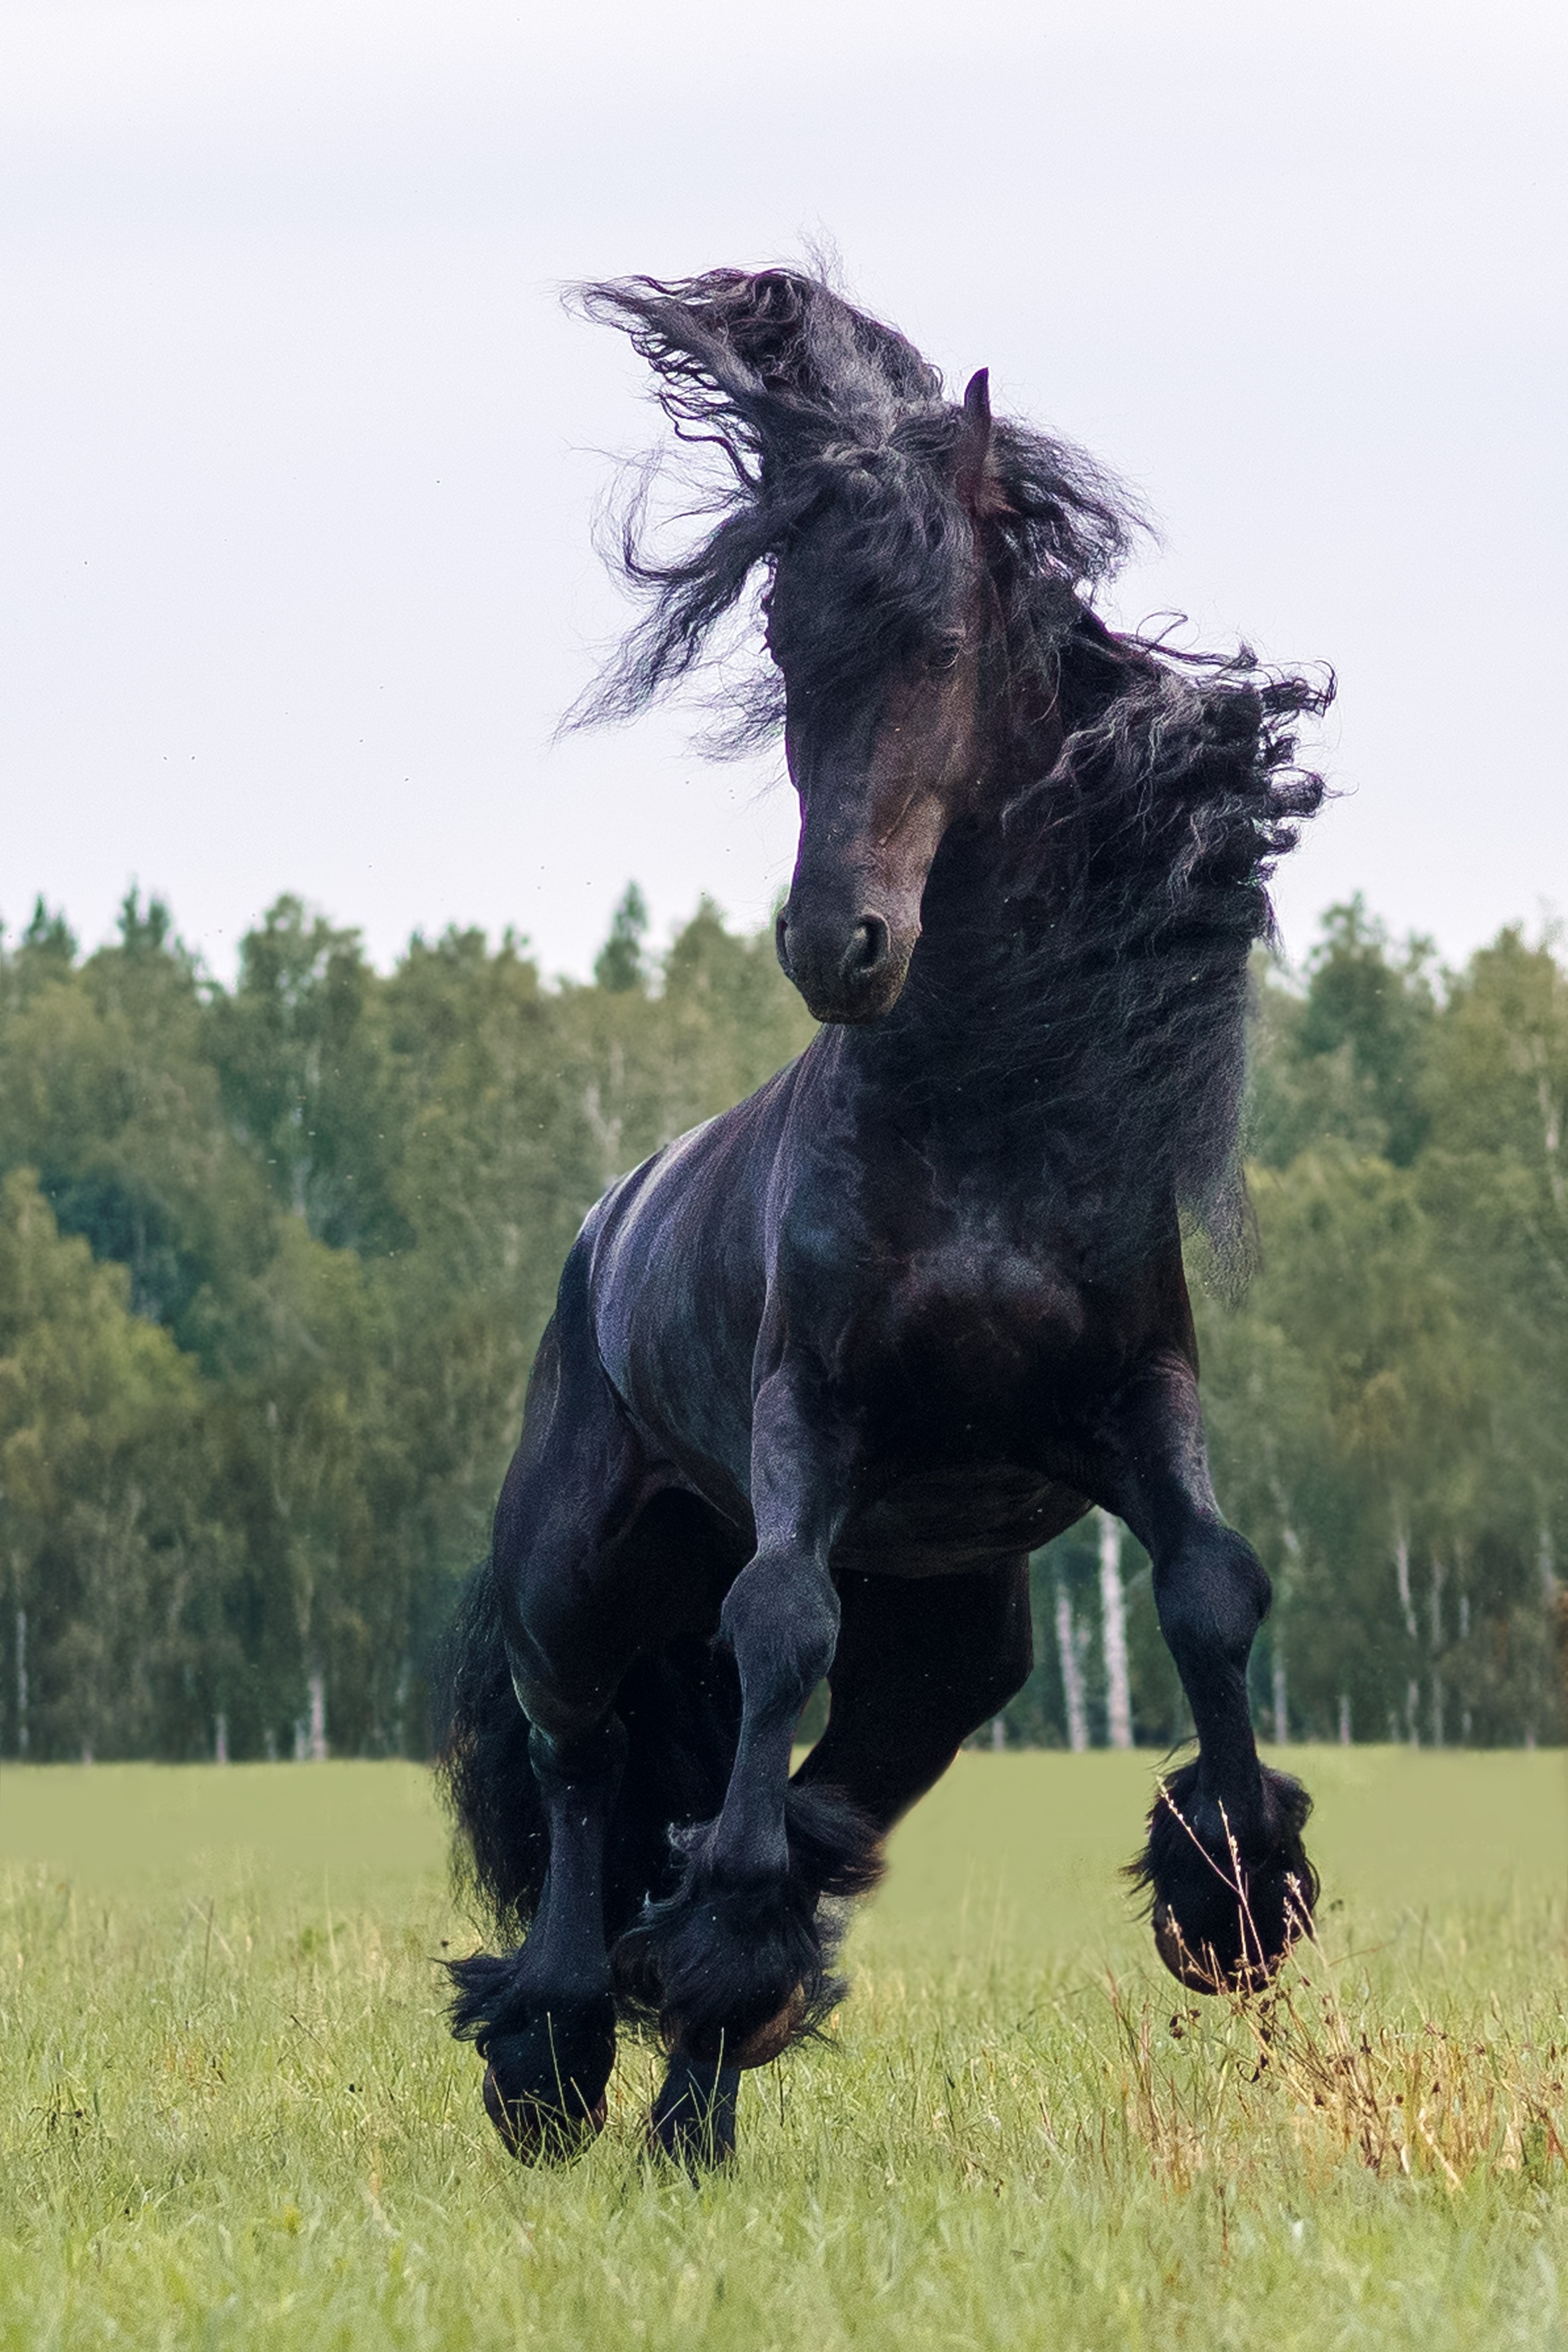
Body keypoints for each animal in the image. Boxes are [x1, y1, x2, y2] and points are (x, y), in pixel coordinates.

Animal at [437, 266, 1328, 2167]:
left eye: (939, 648)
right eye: (784, 649)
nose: (833, 942)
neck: (983, 1128)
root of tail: (596, 1229)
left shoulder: (1129, 1399)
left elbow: (1209, 1588)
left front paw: (1233, 1897)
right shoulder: (815, 1412)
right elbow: (776, 1624)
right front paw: (700, 1992)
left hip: (948, 1622)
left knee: (823, 1764)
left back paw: (715, 2012)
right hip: (573, 1569)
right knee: (585, 1760)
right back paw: (566, 2037)